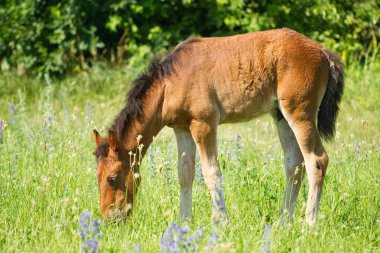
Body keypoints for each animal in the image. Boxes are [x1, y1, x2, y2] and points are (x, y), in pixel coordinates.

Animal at [93, 28, 342, 225]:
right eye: (98, 176)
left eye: (113, 178)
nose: (108, 219)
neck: (171, 82)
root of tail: (322, 51)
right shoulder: (181, 129)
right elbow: (185, 173)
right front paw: (184, 222)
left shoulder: (204, 125)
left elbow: (212, 173)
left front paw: (221, 222)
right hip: (280, 115)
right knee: (294, 164)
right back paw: (283, 220)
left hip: (300, 113)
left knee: (316, 160)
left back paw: (309, 224)